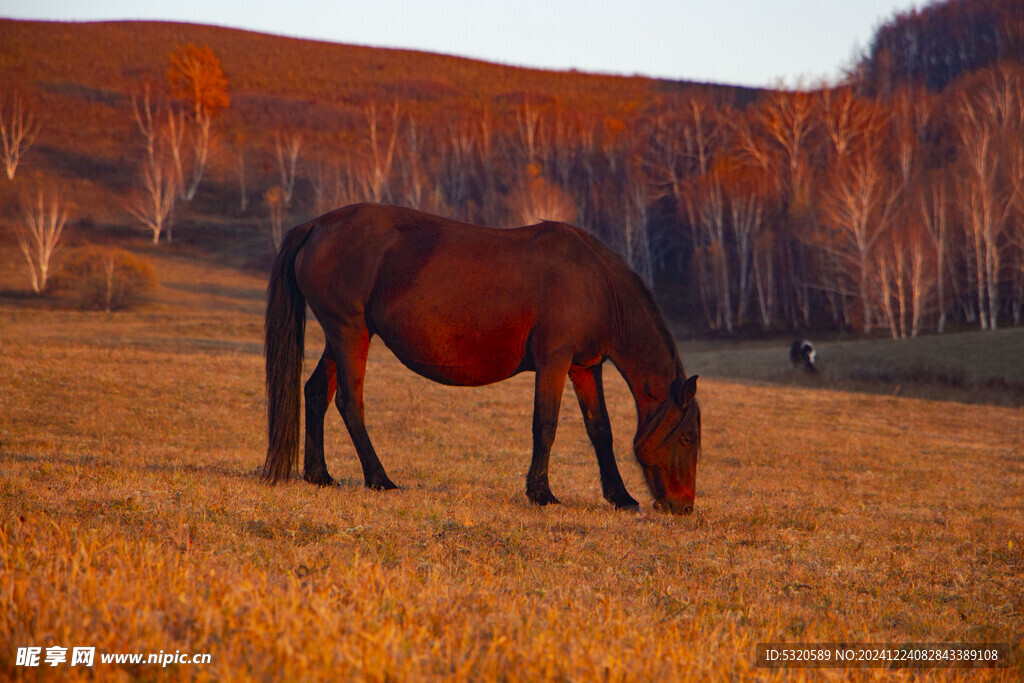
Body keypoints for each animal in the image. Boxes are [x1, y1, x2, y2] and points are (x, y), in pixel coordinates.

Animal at [260, 205, 700, 516]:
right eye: (687, 438)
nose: (683, 507)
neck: (594, 284)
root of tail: (318, 225)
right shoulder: (554, 361)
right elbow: (546, 425)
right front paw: (541, 493)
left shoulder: (584, 367)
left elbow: (600, 431)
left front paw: (620, 496)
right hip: (351, 335)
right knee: (350, 403)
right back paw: (380, 479)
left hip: (343, 337)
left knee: (315, 392)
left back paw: (319, 475)